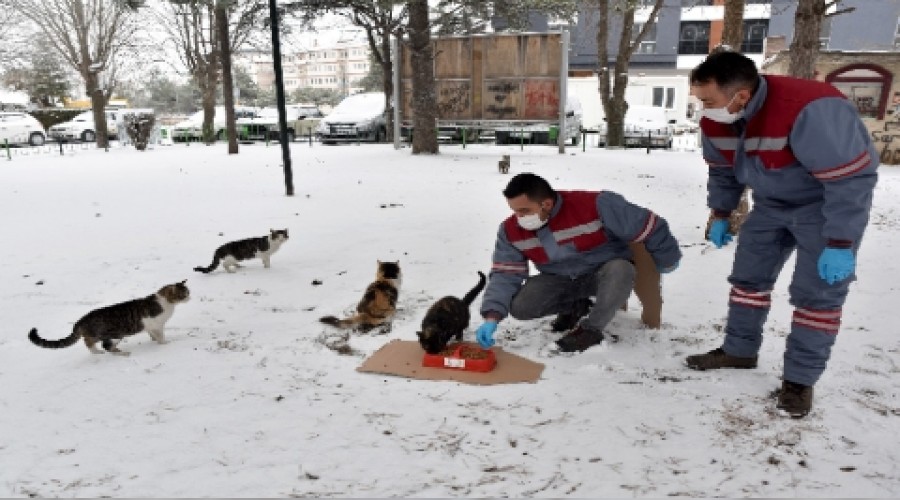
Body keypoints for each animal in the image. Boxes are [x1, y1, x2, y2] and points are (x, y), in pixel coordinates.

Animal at [29, 282, 190, 356]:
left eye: (188, 292)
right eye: (184, 294)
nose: (190, 297)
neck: (165, 302)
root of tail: (81, 320)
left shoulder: (150, 327)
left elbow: (152, 335)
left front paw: (154, 341)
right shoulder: (157, 324)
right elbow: (161, 336)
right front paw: (164, 343)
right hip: (114, 334)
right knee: (98, 344)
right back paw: (106, 352)